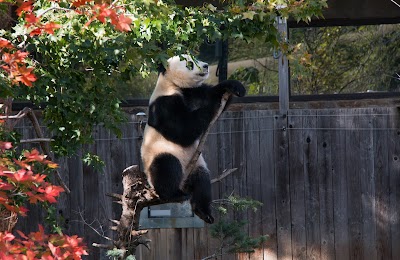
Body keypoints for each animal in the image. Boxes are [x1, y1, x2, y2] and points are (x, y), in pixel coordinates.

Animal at [141, 54, 247, 223]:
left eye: (196, 58)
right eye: (190, 64)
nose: (205, 66)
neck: (173, 84)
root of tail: (184, 182)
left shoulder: (193, 92)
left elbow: (211, 93)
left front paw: (234, 87)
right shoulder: (164, 105)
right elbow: (183, 131)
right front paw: (212, 105)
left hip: (197, 164)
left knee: (202, 181)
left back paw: (203, 212)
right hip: (158, 155)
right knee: (166, 166)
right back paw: (174, 195)